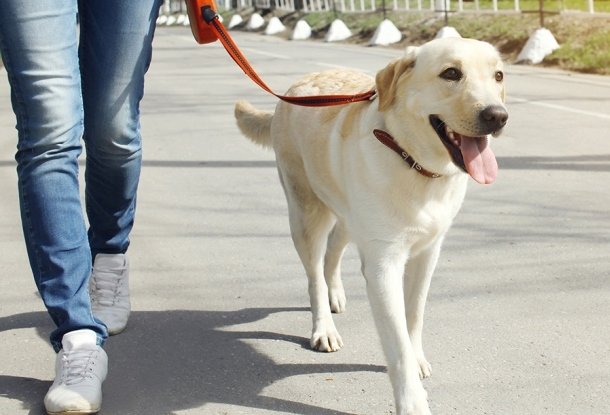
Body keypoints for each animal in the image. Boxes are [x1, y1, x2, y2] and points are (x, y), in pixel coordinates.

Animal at [235, 37, 506, 414]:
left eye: (498, 76)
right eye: (451, 73)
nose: (498, 116)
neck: (413, 163)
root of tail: (294, 89)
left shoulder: (428, 253)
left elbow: (414, 315)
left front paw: (417, 357)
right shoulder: (383, 266)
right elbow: (397, 341)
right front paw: (412, 402)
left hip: (349, 216)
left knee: (333, 251)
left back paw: (335, 294)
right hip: (306, 214)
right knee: (314, 274)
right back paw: (324, 326)